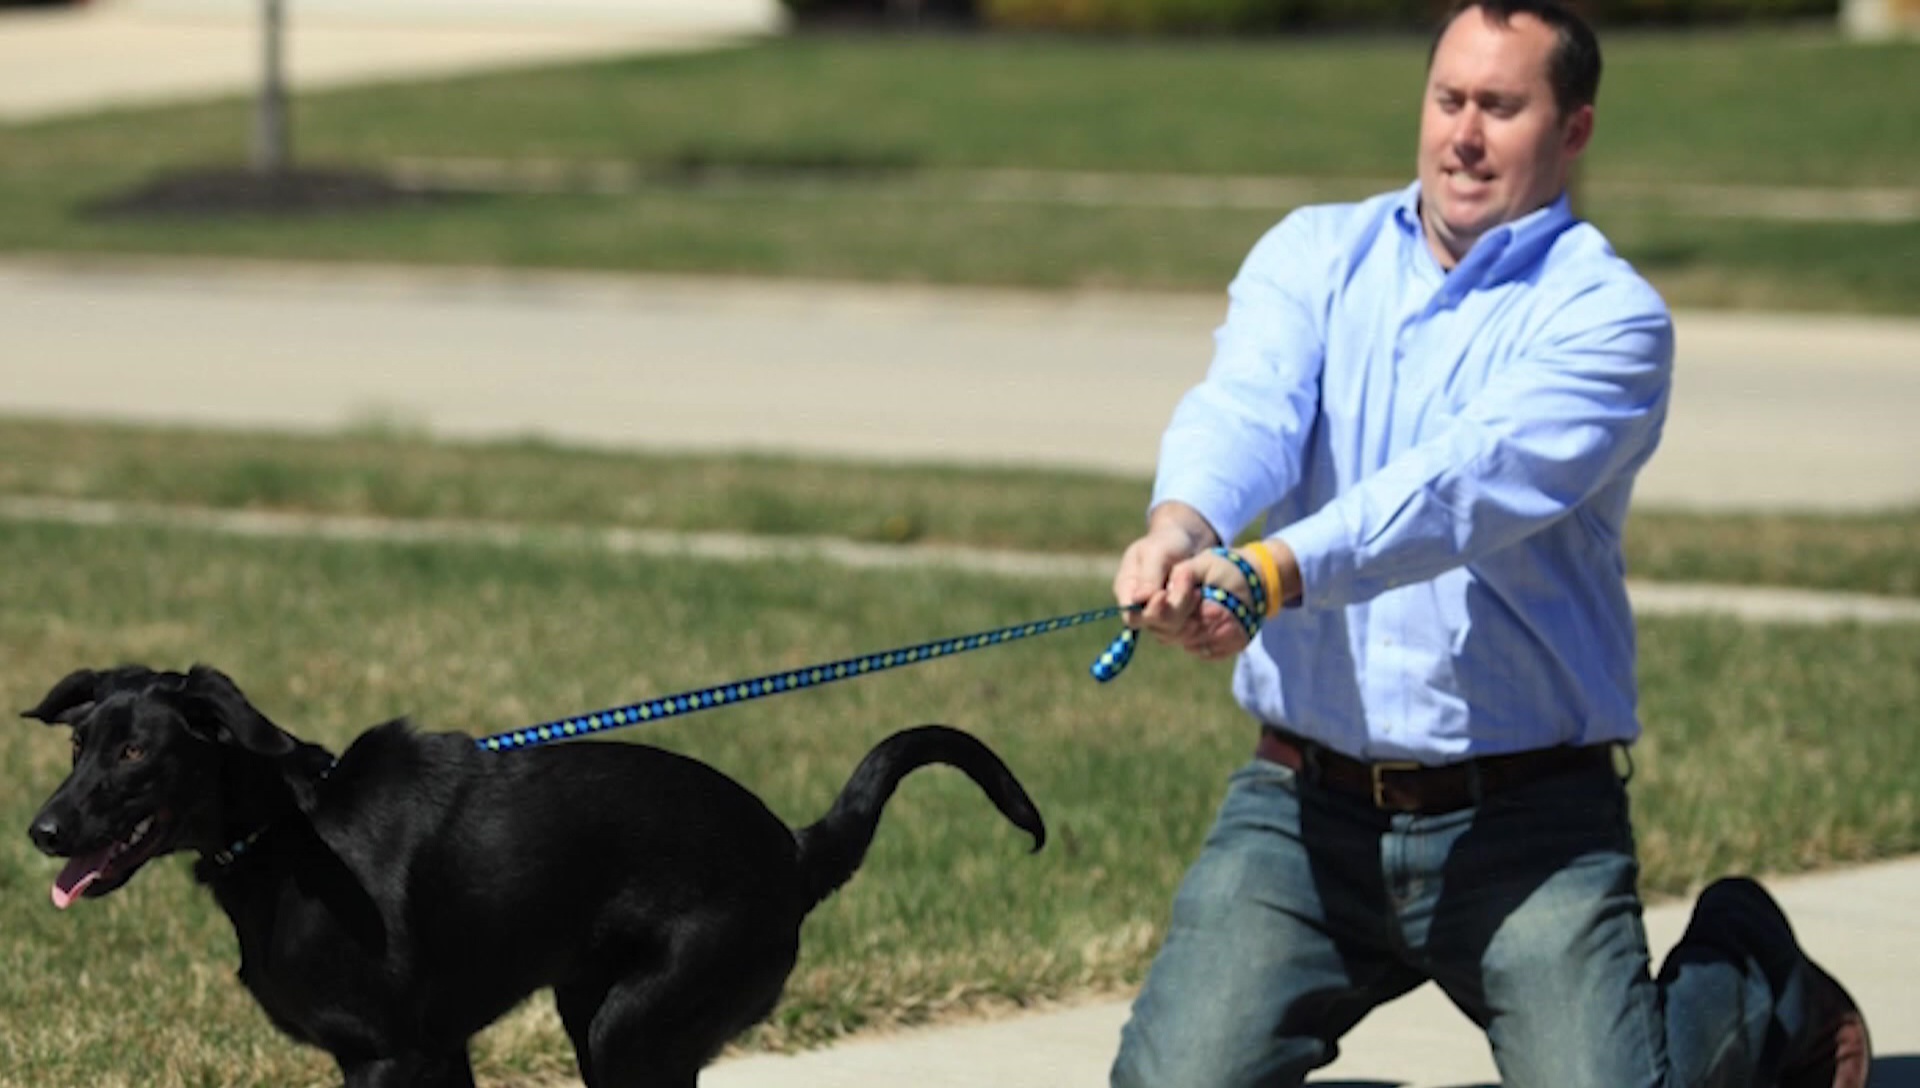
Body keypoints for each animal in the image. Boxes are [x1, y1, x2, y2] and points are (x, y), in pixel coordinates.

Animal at [22, 663, 1044, 1088]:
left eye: (135, 752)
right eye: (78, 745)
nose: (41, 829)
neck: (288, 829)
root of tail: (793, 849)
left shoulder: (383, 1058)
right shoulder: (437, 1053)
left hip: (633, 1031)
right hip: (599, 1013)